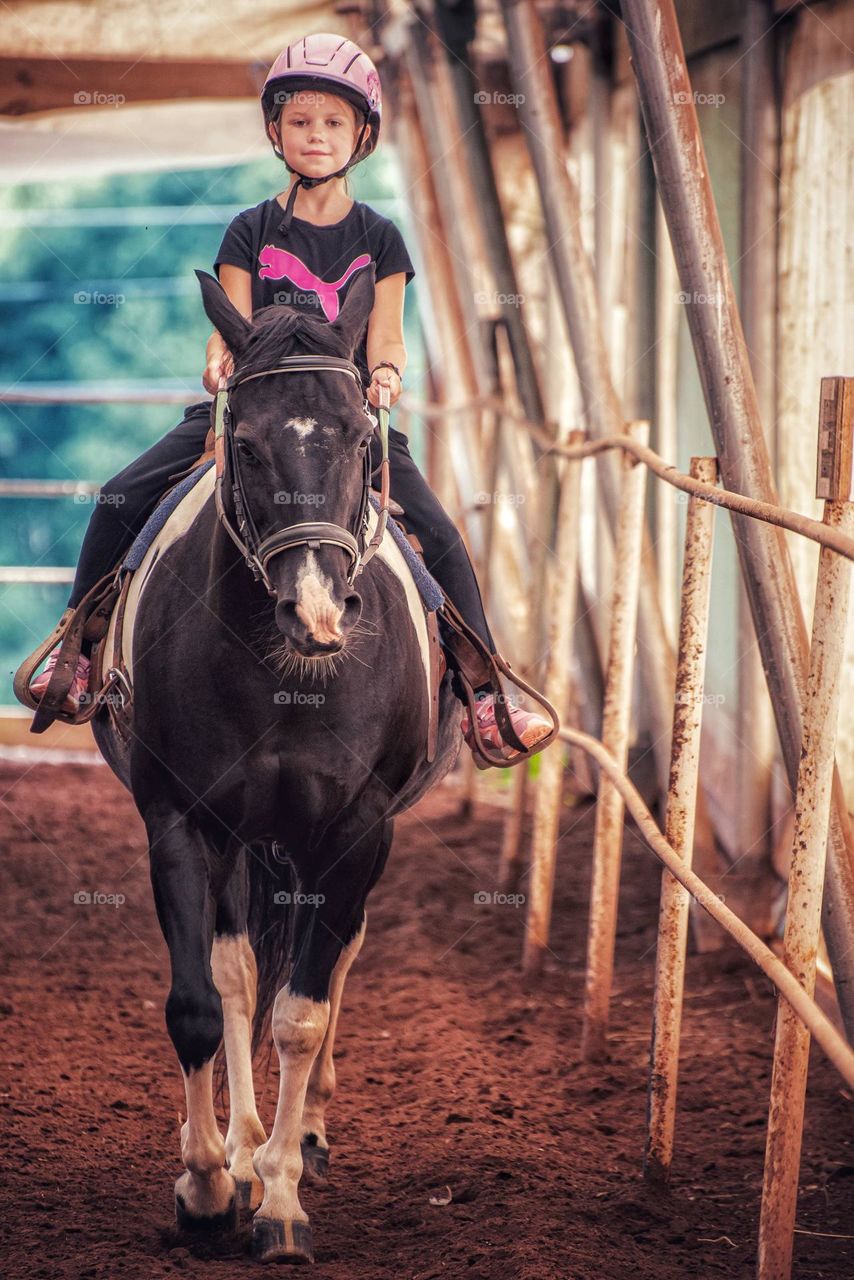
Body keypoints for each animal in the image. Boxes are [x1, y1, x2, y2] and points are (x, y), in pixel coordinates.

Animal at [91, 267, 462, 1263]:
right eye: (248, 446)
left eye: (361, 437)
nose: (317, 612)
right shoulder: (183, 820)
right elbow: (203, 999)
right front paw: (211, 1186)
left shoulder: (355, 832)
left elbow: (302, 1014)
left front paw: (284, 1201)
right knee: (242, 973)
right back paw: (247, 1148)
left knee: (330, 966)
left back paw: (302, 1139)